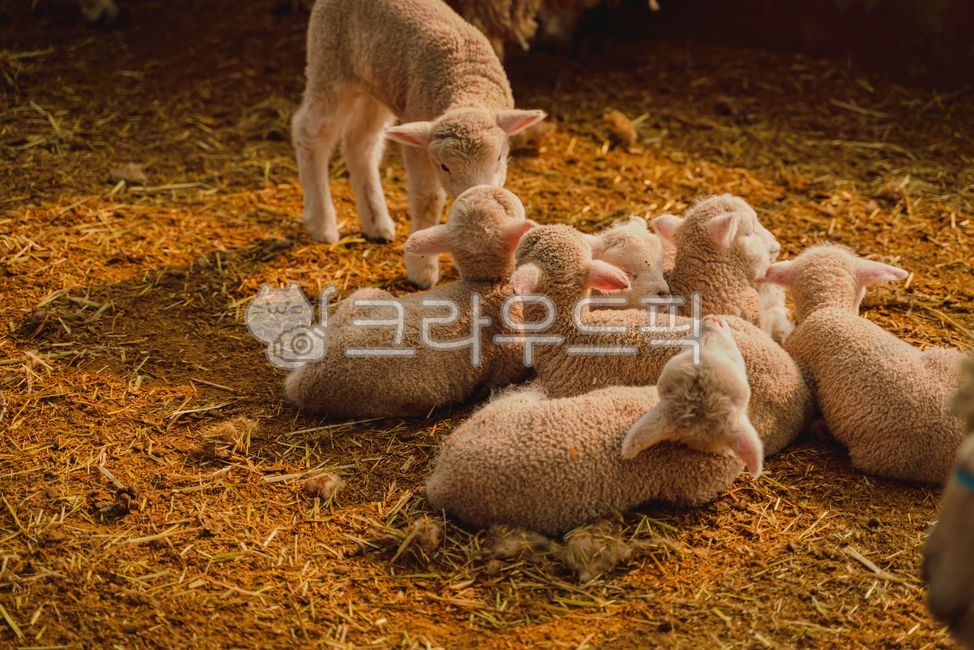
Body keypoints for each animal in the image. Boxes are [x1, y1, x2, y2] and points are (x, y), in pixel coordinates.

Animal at [292, 0, 546, 289]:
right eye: (444, 167)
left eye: (499, 158)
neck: (466, 86)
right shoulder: (419, 145)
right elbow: (428, 199)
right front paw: (422, 268)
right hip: (329, 63)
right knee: (310, 133)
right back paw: (322, 222)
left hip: (377, 83)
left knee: (360, 141)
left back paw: (376, 221)